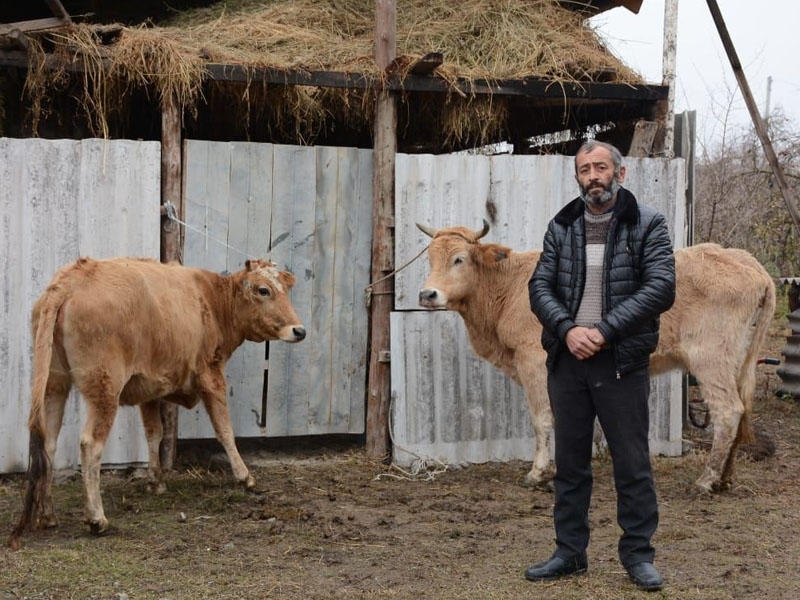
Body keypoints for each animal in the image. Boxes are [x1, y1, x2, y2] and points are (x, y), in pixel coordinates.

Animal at [9, 255, 306, 548]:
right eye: (263, 290)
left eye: (286, 289)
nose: (299, 330)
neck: (212, 300)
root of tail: (73, 278)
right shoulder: (211, 375)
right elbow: (224, 430)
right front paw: (245, 476)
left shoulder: (148, 388)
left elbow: (154, 433)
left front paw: (156, 481)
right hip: (104, 388)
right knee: (90, 444)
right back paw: (97, 519)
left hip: (54, 384)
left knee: (48, 443)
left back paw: (48, 514)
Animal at [418, 223, 776, 494]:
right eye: (430, 259)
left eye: (459, 259)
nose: (427, 294)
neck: (507, 288)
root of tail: (747, 263)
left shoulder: (533, 361)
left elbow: (542, 418)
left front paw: (538, 473)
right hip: (739, 362)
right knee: (742, 410)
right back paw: (725, 478)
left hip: (710, 359)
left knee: (728, 411)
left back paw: (706, 479)